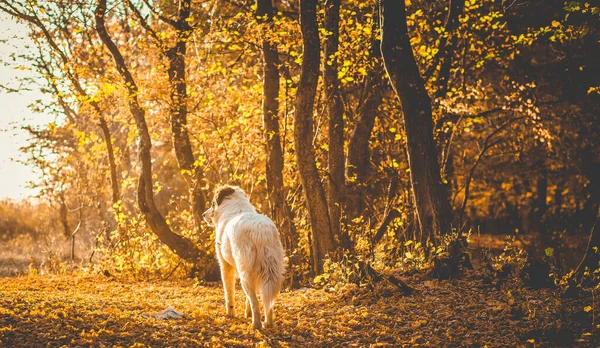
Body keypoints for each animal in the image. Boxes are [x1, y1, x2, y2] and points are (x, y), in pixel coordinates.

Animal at [203, 185, 284, 328]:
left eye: (212, 204)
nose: (203, 215)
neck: (236, 207)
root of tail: (260, 230)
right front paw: (247, 313)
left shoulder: (225, 265)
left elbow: (229, 292)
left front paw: (230, 314)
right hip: (272, 272)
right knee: (266, 300)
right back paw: (268, 323)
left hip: (244, 273)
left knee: (255, 301)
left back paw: (256, 325)